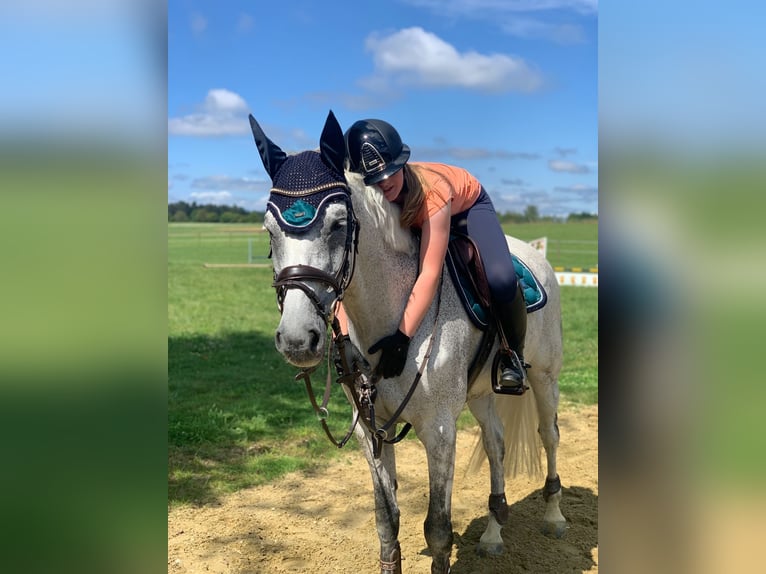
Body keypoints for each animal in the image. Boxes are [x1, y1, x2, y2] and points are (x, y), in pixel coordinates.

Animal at [249, 112, 568, 574]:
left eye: (339, 225)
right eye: (269, 231)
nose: (297, 339)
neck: (390, 324)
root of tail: (536, 257)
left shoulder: (439, 430)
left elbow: (437, 531)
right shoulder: (370, 430)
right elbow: (387, 521)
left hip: (544, 377)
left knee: (549, 434)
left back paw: (554, 516)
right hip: (479, 393)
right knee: (496, 442)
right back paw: (493, 533)